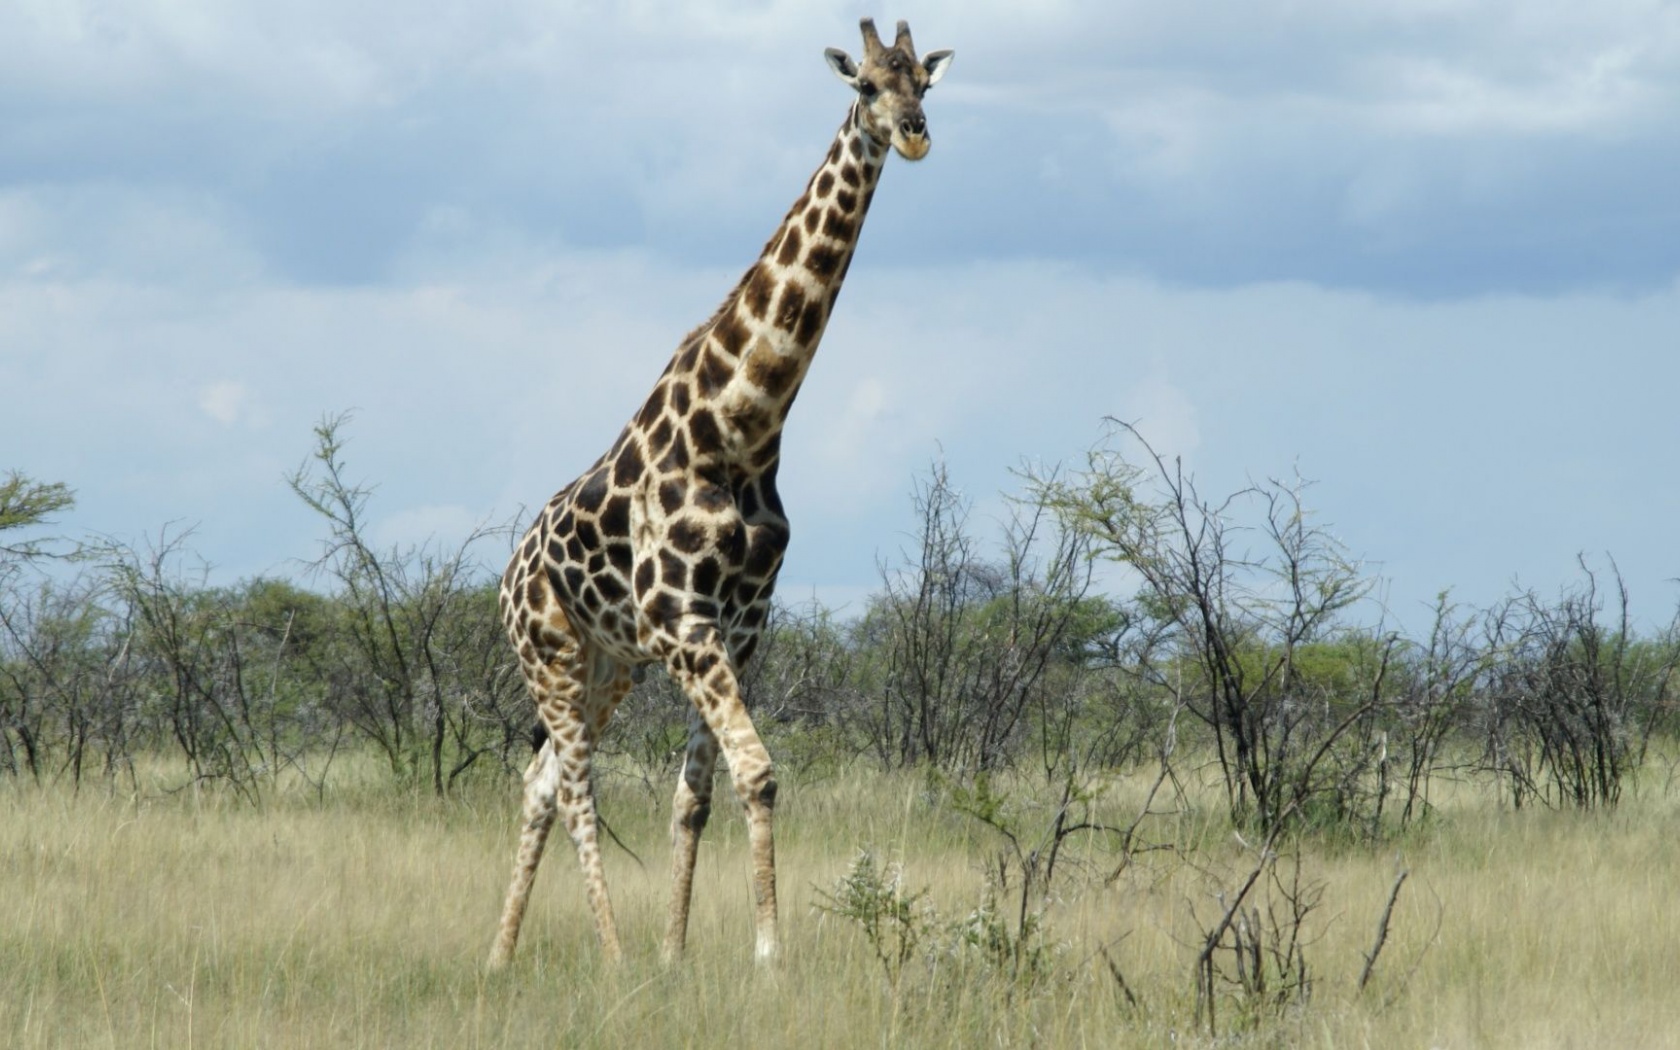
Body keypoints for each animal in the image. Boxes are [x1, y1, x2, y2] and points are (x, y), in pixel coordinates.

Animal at [490, 18, 960, 967]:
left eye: (924, 82)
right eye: (866, 85)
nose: (915, 134)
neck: (742, 431)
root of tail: (506, 575)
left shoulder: (739, 632)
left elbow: (698, 794)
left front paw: (678, 954)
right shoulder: (687, 621)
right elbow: (758, 771)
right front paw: (766, 955)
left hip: (607, 663)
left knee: (540, 780)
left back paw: (500, 956)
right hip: (549, 652)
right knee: (578, 788)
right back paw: (610, 954)